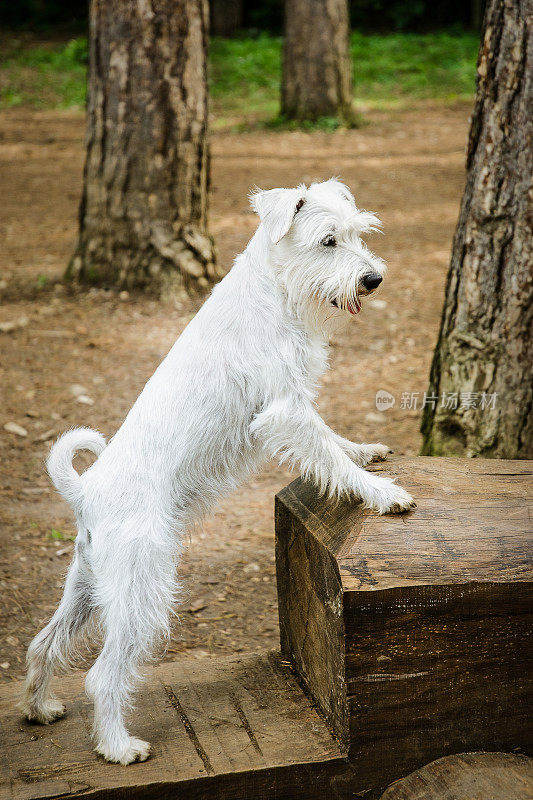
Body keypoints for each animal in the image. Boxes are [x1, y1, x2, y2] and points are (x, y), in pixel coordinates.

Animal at [22, 180, 416, 764]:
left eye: (357, 233)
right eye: (328, 240)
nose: (373, 279)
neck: (274, 292)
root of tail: (85, 492)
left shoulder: (297, 407)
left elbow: (334, 444)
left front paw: (364, 451)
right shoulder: (287, 411)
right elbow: (326, 451)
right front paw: (382, 492)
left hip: (89, 590)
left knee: (45, 643)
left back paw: (40, 708)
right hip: (141, 593)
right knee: (102, 675)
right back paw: (119, 746)